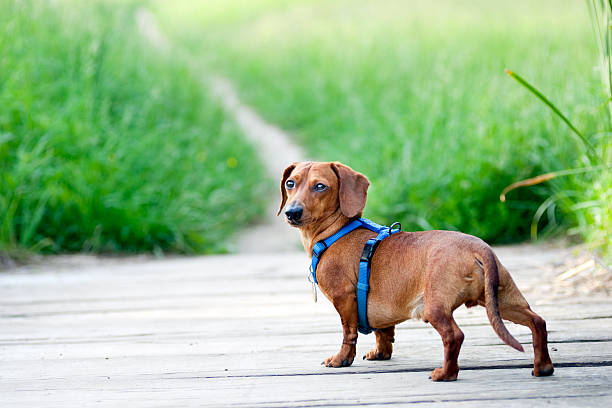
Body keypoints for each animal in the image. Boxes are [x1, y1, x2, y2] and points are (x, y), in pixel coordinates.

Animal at [278, 161, 556, 380]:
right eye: (290, 183)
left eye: (320, 186)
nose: (292, 213)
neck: (337, 230)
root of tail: (477, 248)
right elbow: (384, 332)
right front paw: (381, 353)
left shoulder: (344, 298)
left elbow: (349, 333)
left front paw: (341, 359)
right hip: (502, 300)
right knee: (538, 322)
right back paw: (543, 367)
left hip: (436, 307)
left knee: (454, 336)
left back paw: (445, 374)